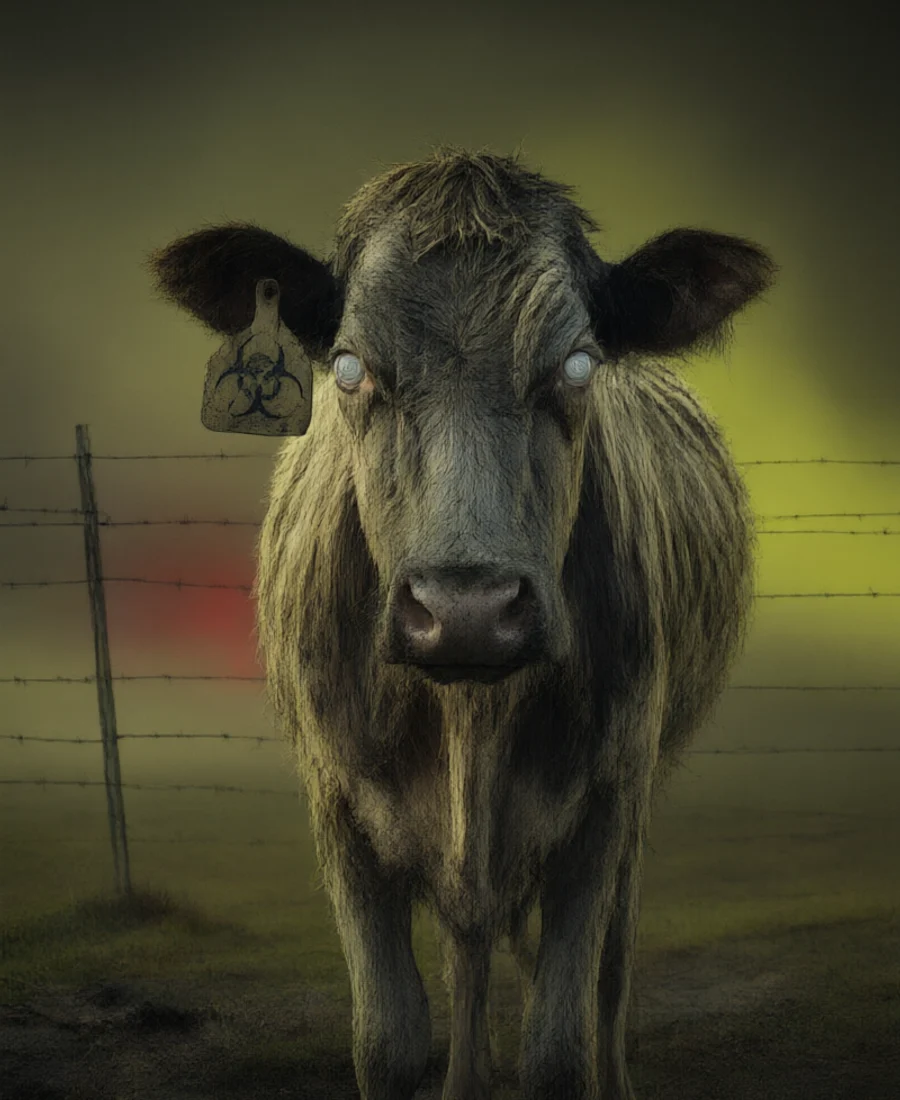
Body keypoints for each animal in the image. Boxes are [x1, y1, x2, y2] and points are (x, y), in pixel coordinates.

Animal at [148, 146, 776, 1100]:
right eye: (348, 368)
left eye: (579, 366)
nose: (467, 611)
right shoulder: (338, 806)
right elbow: (390, 1041)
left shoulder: (606, 799)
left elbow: (561, 1045)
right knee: (467, 953)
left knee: (609, 966)